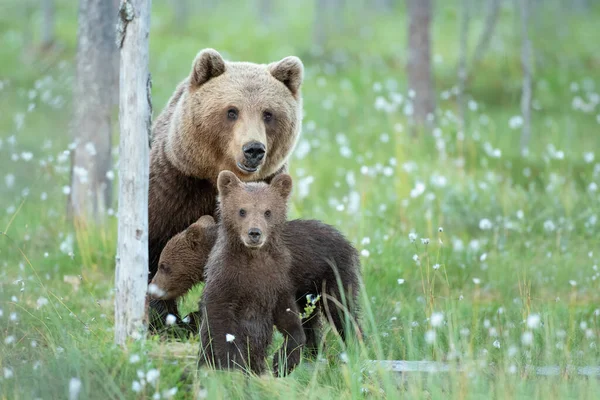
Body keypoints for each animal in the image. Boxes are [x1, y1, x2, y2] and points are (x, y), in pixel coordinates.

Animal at [146, 48, 304, 330]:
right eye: (232, 111)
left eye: (268, 113)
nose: (253, 149)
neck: (216, 176)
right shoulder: (175, 188)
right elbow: (156, 248)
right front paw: (165, 319)